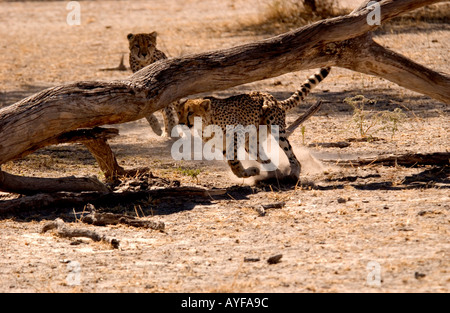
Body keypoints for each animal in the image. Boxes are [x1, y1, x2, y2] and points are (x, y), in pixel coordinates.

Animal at [176, 67, 330, 180]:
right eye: (179, 113)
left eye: (190, 113)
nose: (181, 123)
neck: (206, 123)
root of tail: (273, 98)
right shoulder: (223, 145)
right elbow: (233, 162)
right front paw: (247, 172)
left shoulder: (237, 133)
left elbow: (233, 159)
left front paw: (245, 172)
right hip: (250, 144)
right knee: (266, 159)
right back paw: (275, 174)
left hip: (275, 128)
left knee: (291, 154)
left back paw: (293, 173)